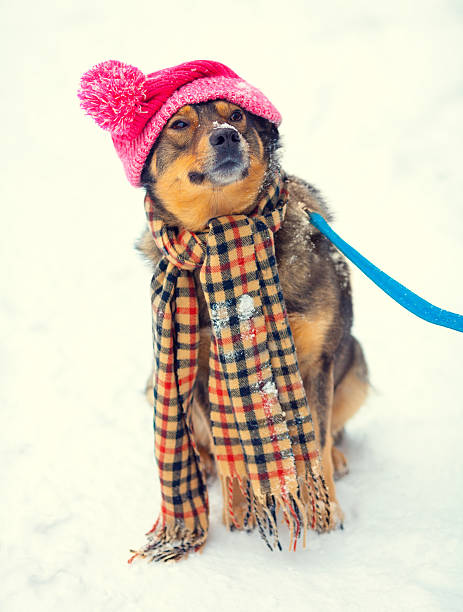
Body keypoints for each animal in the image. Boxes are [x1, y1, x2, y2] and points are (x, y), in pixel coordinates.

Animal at [137, 99, 370, 524]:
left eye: (237, 115)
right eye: (178, 124)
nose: (226, 135)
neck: (227, 231)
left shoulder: (316, 361)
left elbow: (317, 444)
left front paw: (325, 515)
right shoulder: (205, 368)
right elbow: (232, 452)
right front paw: (241, 517)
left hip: (356, 367)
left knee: (333, 431)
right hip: (155, 387)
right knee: (202, 442)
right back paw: (204, 467)